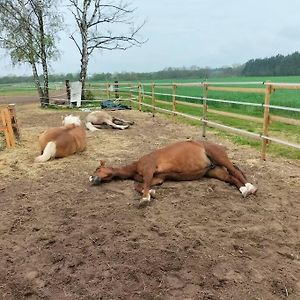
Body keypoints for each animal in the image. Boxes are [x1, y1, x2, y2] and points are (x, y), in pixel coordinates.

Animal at [88, 140, 255, 206]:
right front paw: (151, 193)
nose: (92, 178)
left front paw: (145, 198)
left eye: (97, 169)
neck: (136, 166)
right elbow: (138, 185)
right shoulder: (158, 178)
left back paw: (250, 187)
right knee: (231, 177)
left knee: (235, 171)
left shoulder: (149, 169)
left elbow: (143, 184)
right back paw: (244, 190)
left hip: (220, 158)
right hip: (214, 171)